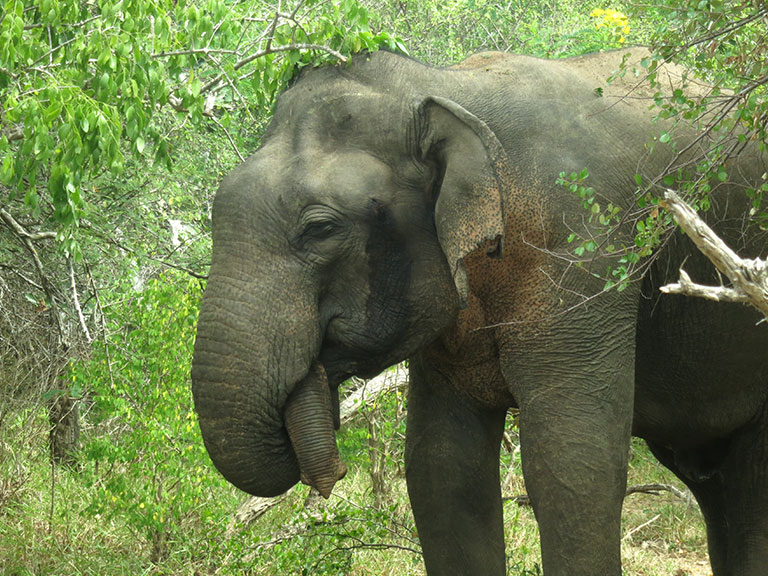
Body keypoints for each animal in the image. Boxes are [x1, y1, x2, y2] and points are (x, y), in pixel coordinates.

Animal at [191, 48, 768, 576]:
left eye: (320, 229)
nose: (328, 478)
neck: (444, 88)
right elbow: (442, 466)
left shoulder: (584, 251)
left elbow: (572, 460)